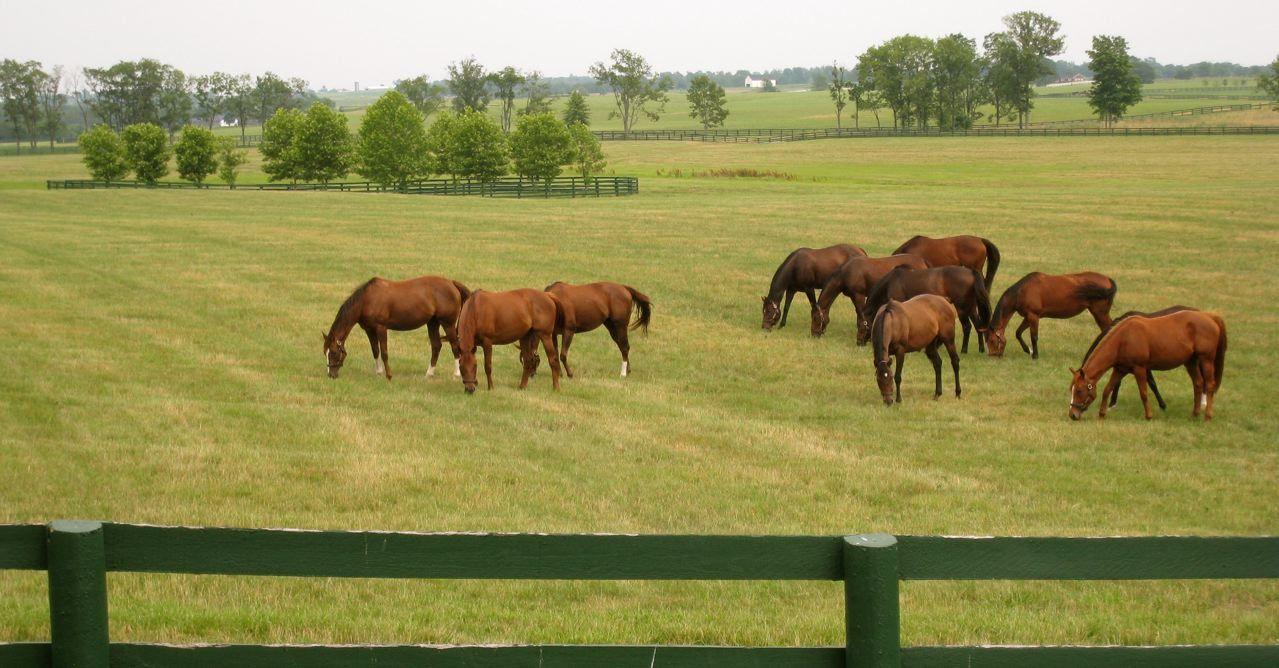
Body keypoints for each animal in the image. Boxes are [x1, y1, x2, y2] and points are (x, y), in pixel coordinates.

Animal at [322, 276, 470, 380]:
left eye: (334, 352)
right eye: (326, 353)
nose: (331, 375)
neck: (367, 300)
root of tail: (452, 283)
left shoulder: (381, 328)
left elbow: (384, 352)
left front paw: (389, 375)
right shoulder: (369, 330)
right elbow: (375, 351)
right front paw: (379, 372)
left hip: (448, 324)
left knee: (455, 347)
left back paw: (456, 375)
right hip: (433, 323)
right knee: (436, 346)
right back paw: (429, 374)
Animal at [861, 265, 991, 353]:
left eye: (862, 324)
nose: (859, 342)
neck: (892, 281)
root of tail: (971, 272)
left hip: (962, 308)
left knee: (967, 327)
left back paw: (964, 350)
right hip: (971, 307)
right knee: (978, 325)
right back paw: (981, 348)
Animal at [986, 272, 1117, 359]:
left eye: (991, 340)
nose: (993, 356)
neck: (1022, 291)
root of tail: (1107, 279)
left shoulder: (1033, 316)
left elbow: (1034, 337)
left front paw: (1035, 355)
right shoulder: (1028, 317)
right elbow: (1018, 333)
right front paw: (1028, 350)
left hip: (1100, 313)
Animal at [1069, 309, 1226, 421]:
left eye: (1079, 391)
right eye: (1072, 389)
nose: (1072, 415)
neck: (1124, 338)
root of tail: (1210, 317)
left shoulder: (1140, 369)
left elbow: (1143, 392)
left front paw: (1149, 415)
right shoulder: (1120, 370)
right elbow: (1108, 389)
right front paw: (1102, 414)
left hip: (1206, 360)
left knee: (1209, 385)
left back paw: (1207, 416)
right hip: (1190, 362)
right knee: (1198, 384)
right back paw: (1195, 414)